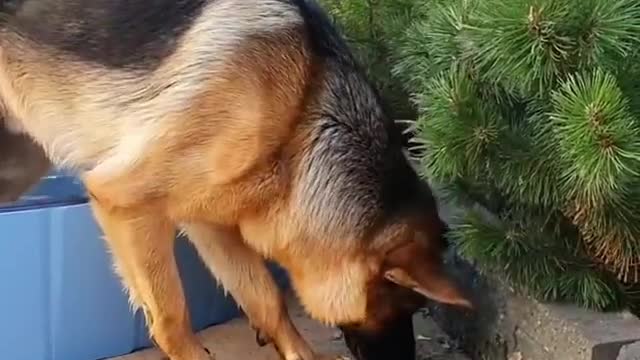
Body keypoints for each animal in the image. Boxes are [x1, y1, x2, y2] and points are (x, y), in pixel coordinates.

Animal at [0, 0, 470, 358]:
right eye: (404, 305)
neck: (298, 121)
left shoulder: (209, 223)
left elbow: (267, 300)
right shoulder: (126, 205)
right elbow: (172, 319)